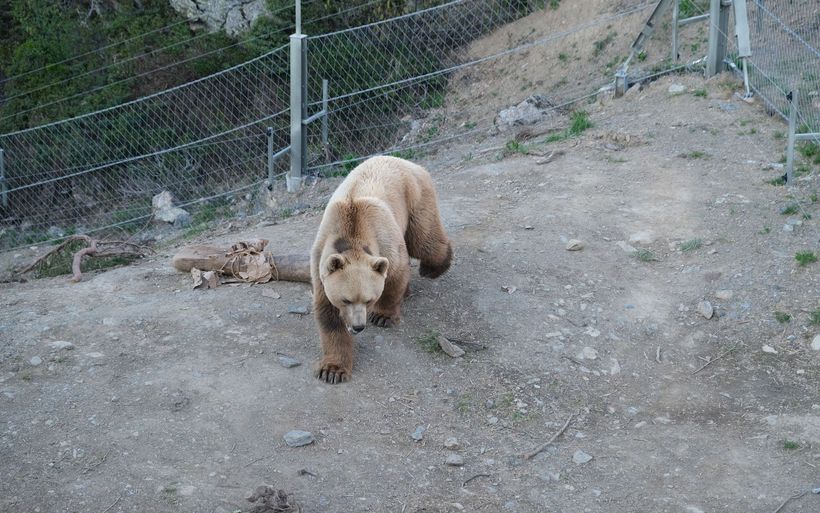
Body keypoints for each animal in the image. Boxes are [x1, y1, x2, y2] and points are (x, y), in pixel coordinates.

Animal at [310, 155, 453, 384]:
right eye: (345, 300)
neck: (352, 230)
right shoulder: (320, 265)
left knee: (423, 239)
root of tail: (404, 160)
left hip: (415, 196)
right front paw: (332, 370)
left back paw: (433, 268)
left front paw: (382, 316)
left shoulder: (384, 240)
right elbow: (329, 316)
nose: (358, 326)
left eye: (369, 300)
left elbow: (394, 275)